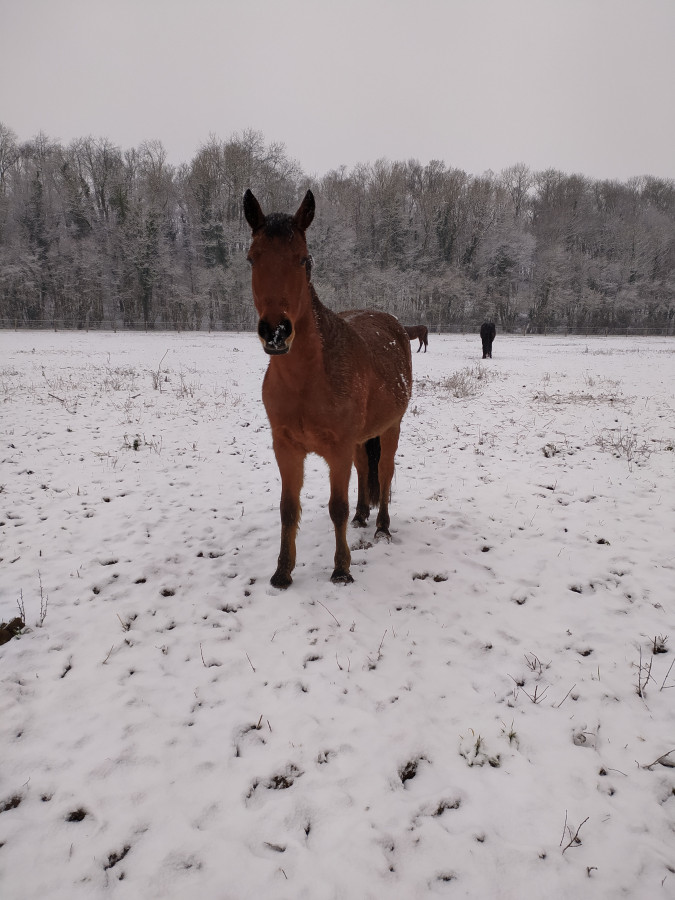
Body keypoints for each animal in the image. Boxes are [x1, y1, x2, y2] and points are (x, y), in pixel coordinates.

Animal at [244, 189, 413, 588]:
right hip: (360, 439)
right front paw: (282, 572)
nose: (276, 332)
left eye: (303, 259)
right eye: (252, 258)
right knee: (364, 471)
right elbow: (288, 509)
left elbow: (337, 507)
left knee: (384, 473)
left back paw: (381, 527)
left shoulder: (337, 448)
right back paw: (363, 517)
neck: (308, 380)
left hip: (391, 428)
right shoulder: (286, 448)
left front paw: (341, 569)